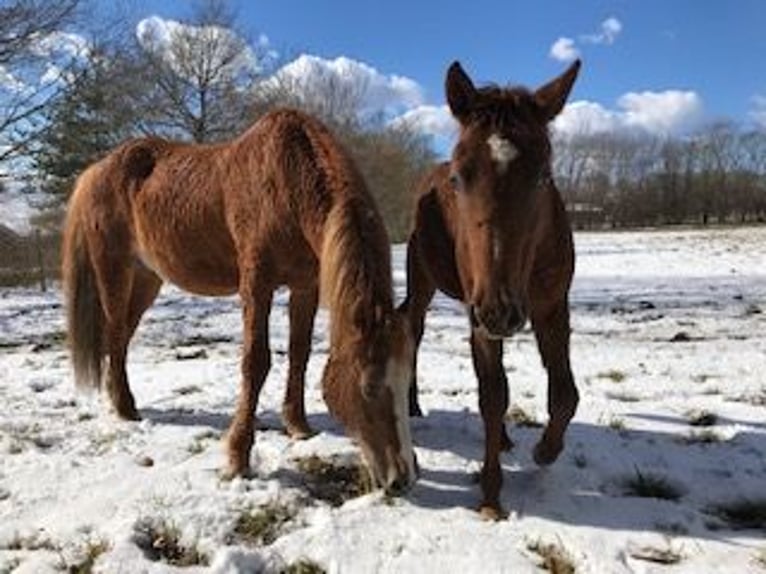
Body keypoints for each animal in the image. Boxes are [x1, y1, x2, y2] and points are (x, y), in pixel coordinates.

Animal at [62, 108, 416, 496]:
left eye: (407, 379)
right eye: (368, 387)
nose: (402, 478)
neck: (286, 180)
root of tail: (95, 171)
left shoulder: (305, 287)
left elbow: (300, 353)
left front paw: (298, 426)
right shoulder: (256, 284)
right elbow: (256, 361)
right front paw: (238, 457)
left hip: (146, 279)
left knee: (122, 337)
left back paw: (122, 402)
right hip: (115, 270)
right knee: (113, 334)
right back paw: (125, 408)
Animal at [402, 60, 584, 520]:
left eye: (543, 175)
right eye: (458, 177)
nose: (499, 310)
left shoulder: (552, 308)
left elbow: (564, 393)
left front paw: (545, 450)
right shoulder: (481, 316)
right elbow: (491, 396)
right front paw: (490, 496)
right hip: (429, 283)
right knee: (413, 328)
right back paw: (412, 404)